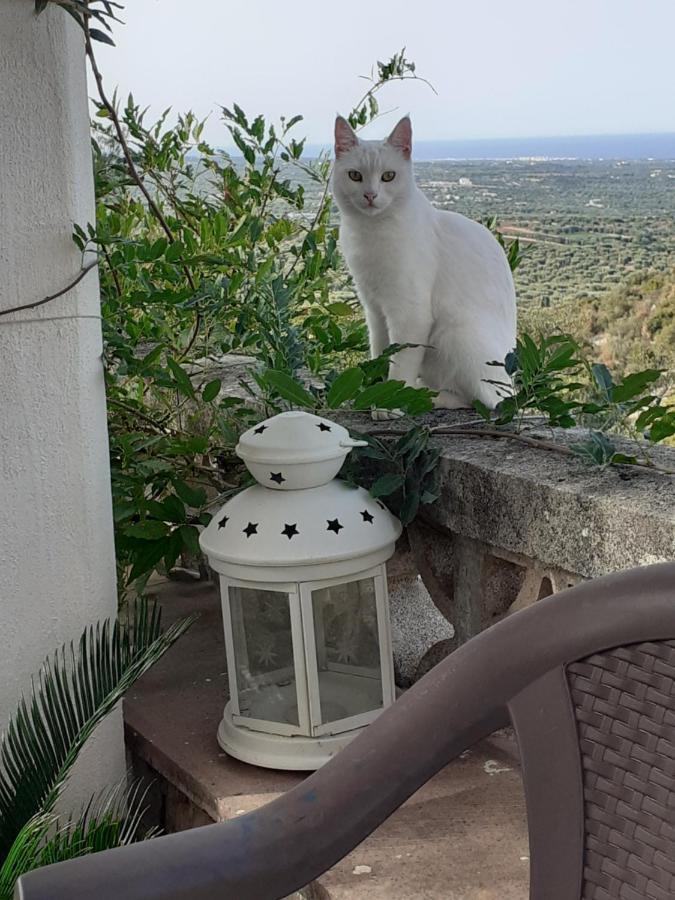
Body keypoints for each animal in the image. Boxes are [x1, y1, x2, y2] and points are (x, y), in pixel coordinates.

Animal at [332, 114, 516, 410]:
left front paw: (391, 402)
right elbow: (380, 352)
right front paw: (374, 391)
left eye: (388, 176)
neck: (372, 231)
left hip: (455, 333)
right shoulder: (375, 309)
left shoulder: (410, 315)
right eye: (355, 175)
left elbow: (400, 363)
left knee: (478, 399)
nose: (370, 195)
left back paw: (426, 396)